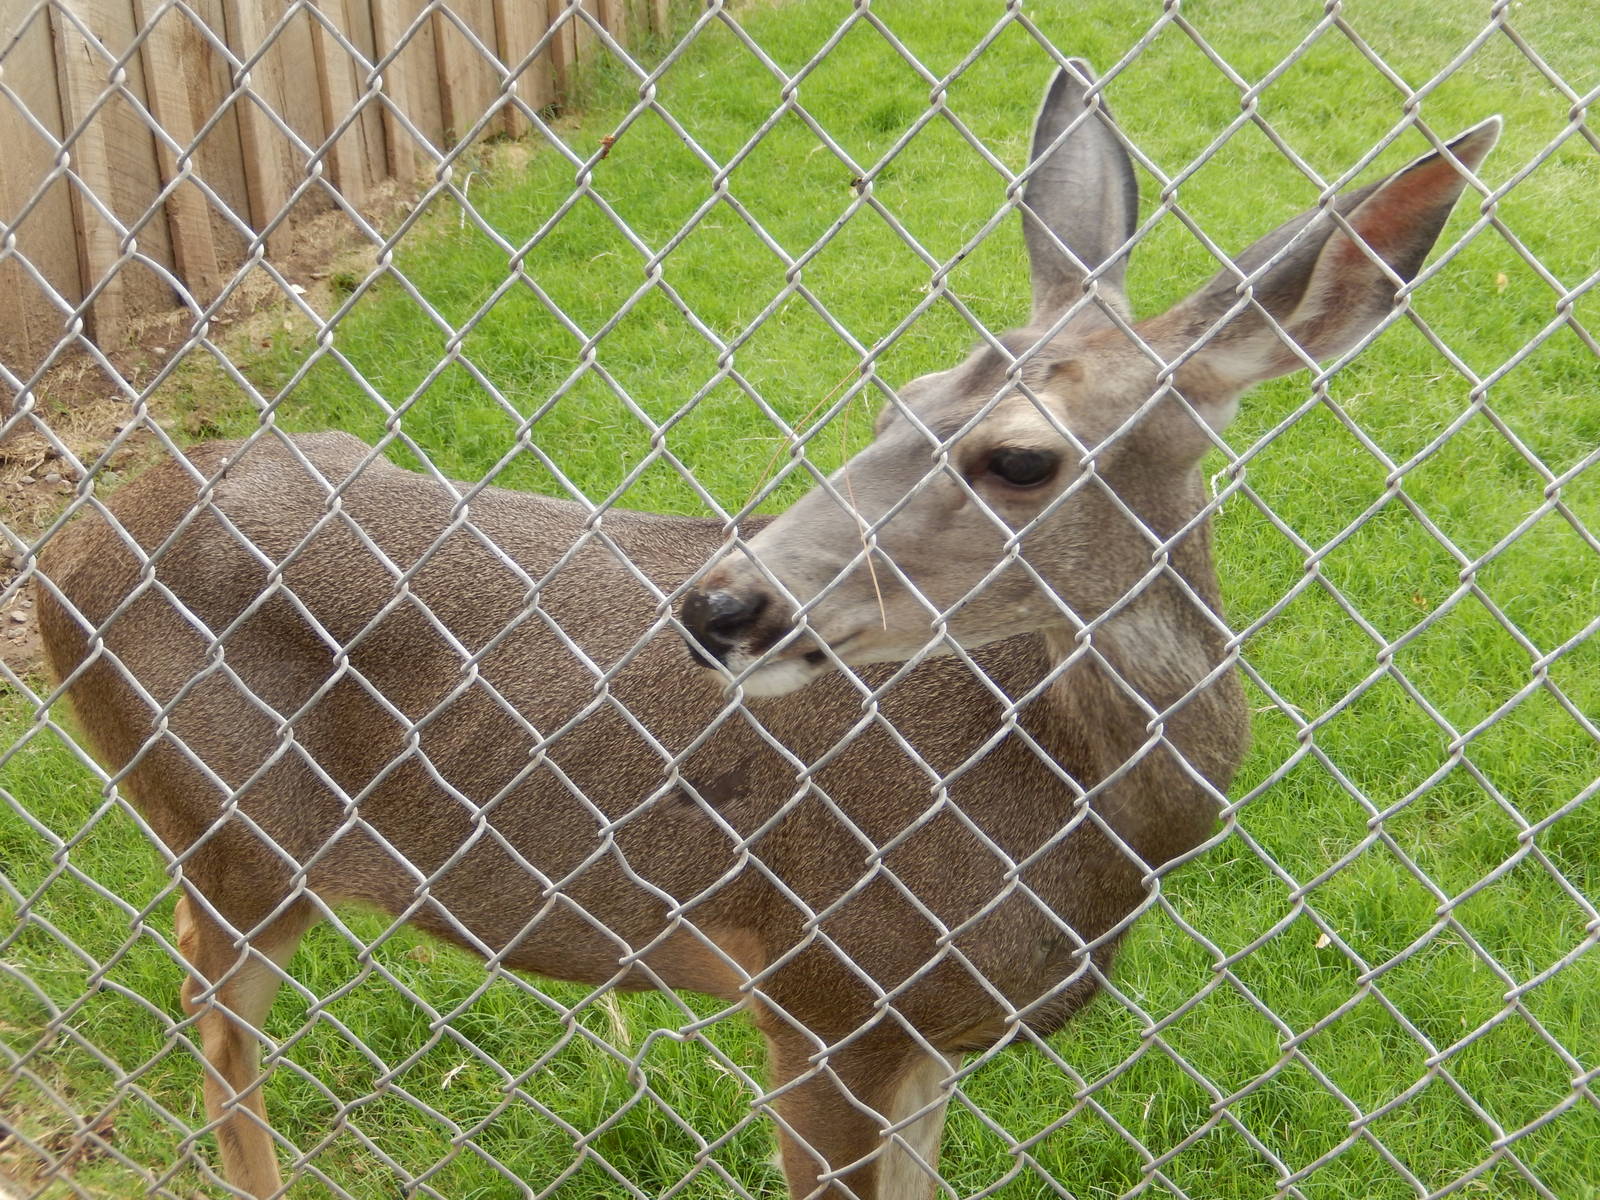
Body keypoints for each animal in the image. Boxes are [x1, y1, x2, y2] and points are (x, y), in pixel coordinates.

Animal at [36, 60, 1497, 1200]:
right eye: (897, 397)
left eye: (1020, 457)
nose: (722, 602)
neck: (1072, 821)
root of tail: (63, 553)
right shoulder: (818, 989)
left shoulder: (921, 1035)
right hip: (228, 830)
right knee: (212, 1017)